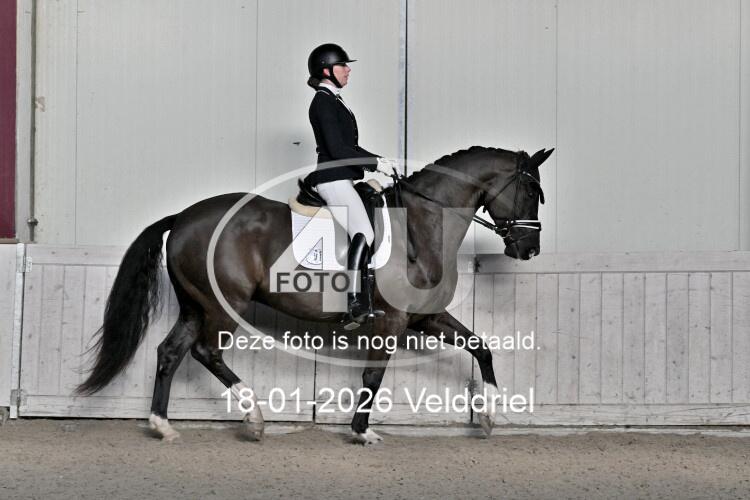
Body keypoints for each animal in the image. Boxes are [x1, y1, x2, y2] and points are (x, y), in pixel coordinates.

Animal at [76, 145, 553, 445]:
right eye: (531, 190)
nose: (529, 249)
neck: (422, 223)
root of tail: (183, 216)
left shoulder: (424, 317)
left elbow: (482, 347)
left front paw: (489, 417)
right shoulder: (393, 321)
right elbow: (373, 376)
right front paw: (362, 431)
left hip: (195, 305)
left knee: (170, 352)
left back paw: (162, 426)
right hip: (221, 305)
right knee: (205, 352)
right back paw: (254, 419)